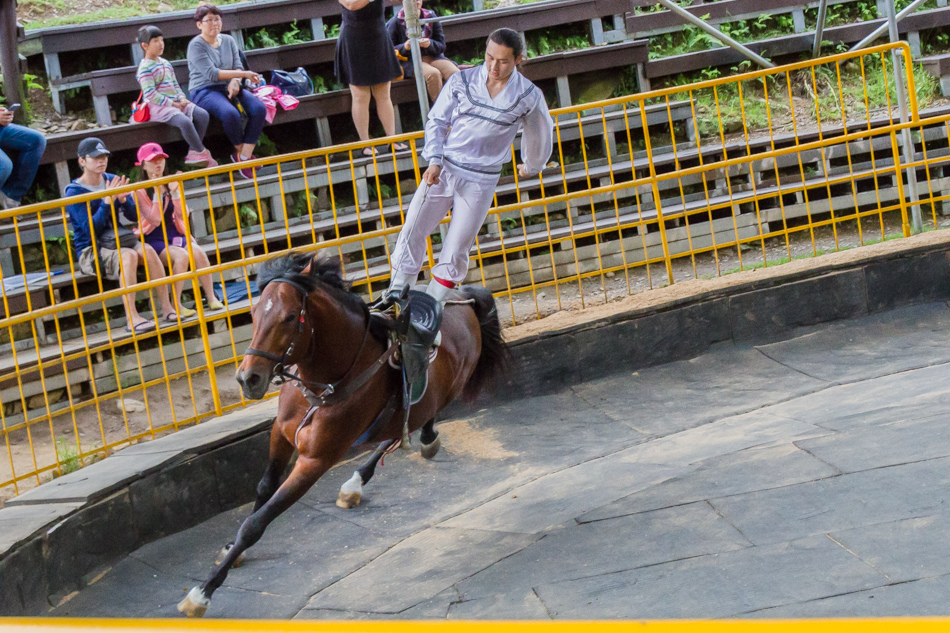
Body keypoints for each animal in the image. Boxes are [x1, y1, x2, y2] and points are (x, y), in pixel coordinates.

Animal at [176, 252, 510, 616]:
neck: (324, 382)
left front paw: (203, 592)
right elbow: (264, 489)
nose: (248, 378)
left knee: (410, 424)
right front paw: (230, 548)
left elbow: (257, 523)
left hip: (449, 386)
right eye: (253, 313)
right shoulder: (281, 433)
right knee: (400, 429)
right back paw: (370, 473)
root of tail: (464, 298)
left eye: (290, 317)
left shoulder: (315, 460)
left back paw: (395, 457)